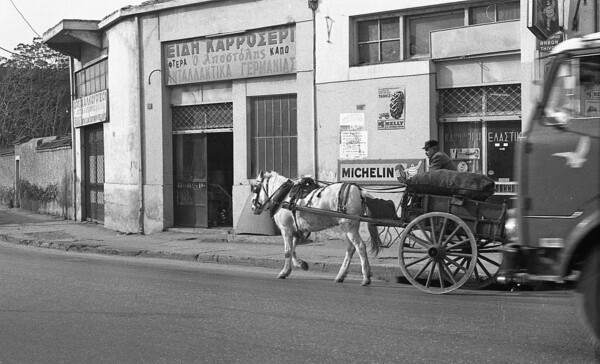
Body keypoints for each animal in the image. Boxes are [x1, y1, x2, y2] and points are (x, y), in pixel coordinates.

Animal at [251, 171, 382, 288]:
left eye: (255, 188)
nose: (253, 207)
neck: (284, 197)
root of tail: (359, 192)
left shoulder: (286, 229)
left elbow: (287, 251)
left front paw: (284, 272)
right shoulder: (296, 230)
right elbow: (293, 249)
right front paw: (301, 264)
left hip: (349, 226)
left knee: (360, 246)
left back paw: (366, 278)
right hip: (347, 227)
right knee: (350, 249)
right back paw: (340, 275)